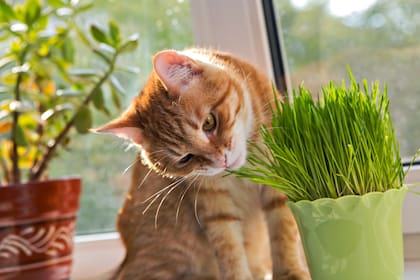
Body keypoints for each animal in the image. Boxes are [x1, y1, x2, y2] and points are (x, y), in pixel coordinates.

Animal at [96, 49, 308, 278]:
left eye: (209, 123)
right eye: (185, 158)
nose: (221, 161)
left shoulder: (280, 181)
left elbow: (283, 232)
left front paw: (291, 272)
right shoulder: (214, 206)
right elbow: (229, 249)